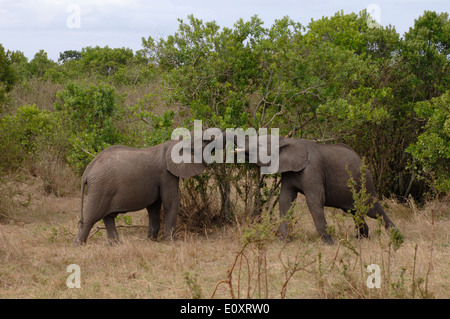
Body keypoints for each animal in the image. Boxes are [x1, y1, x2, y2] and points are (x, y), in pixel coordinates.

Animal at [76, 131, 229, 246]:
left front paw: (151, 240)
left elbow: (154, 206)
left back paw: (117, 245)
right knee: (91, 218)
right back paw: (79, 245)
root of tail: (87, 172)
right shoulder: (165, 175)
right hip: (100, 188)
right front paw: (171, 242)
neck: (174, 142)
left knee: (108, 217)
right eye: (206, 141)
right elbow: (170, 202)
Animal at [236, 135, 398, 245]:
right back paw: (361, 239)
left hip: (365, 184)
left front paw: (330, 244)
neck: (287, 140)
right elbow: (285, 201)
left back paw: (397, 236)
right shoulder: (289, 173)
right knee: (354, 211)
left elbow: (314, 201)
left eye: (260, 145)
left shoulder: (313, 170)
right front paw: (283, 242)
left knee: (373, 210)